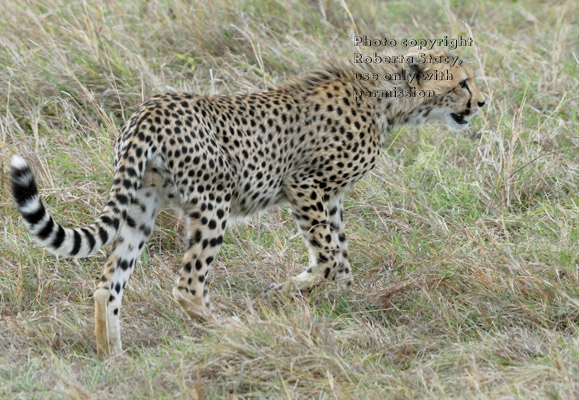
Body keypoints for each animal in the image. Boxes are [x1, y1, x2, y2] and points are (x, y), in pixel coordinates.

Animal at [11, 47, 488, 356]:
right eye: (462, 82)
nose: (482, 102)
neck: (388, 100)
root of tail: (150, 108)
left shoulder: (329, 196)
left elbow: (340, 253)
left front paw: (345, 302)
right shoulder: (305, 184)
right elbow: (328, 255)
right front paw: (292, 289)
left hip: (140, 209)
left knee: (108, 282)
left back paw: (113, 357)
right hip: (213, 203)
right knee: (188, 284)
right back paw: (229, 328)